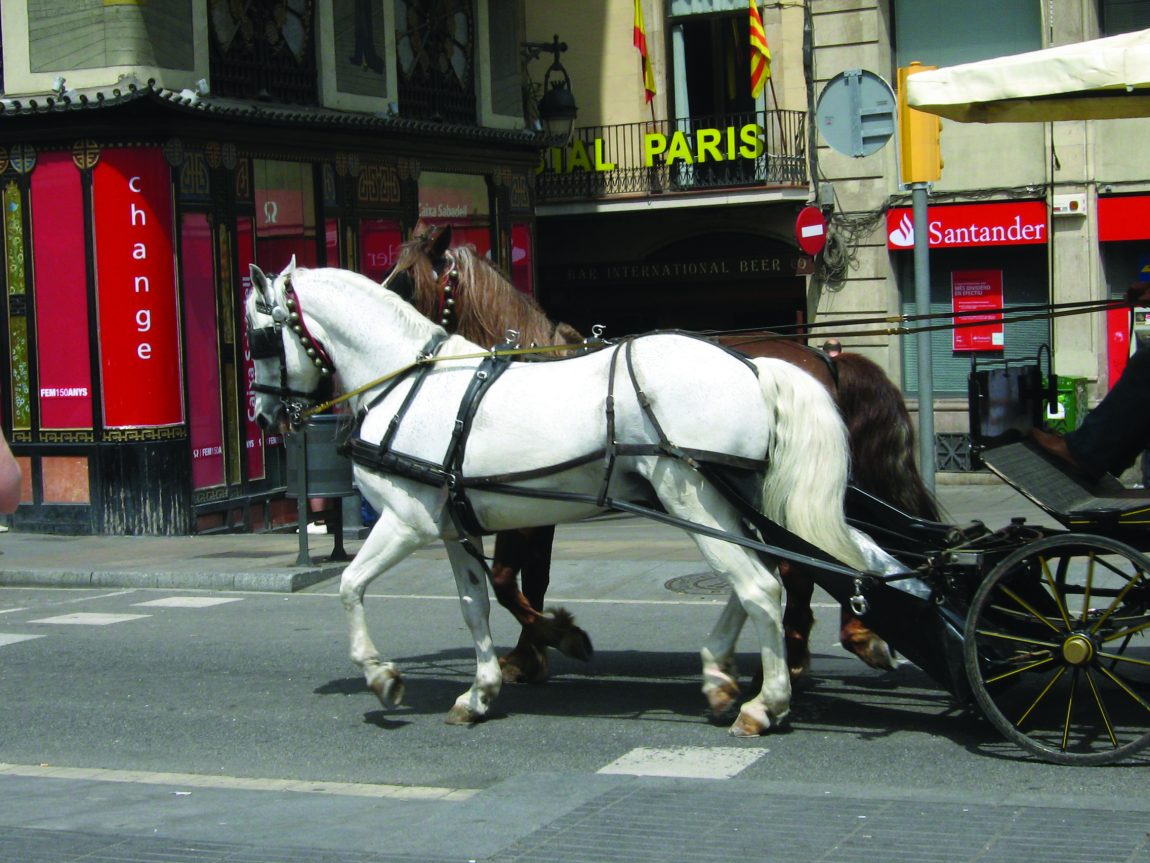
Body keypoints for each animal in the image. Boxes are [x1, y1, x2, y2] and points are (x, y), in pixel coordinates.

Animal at [244, 262, 869, 736]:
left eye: (257, 336)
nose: (265, 414)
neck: (409, 383)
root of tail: (757, 366)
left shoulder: (405, 521)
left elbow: (350, 586)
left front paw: (381, 675)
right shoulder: (455, 528)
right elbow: (474, 605)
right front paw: (481, 691)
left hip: (694, 503)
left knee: (761, 587)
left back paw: (766, 703)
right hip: (727, 505)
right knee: (762, 578)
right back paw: (720, 675)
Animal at [386, 226, 943, 685]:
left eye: (405, 284)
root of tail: (824, 357)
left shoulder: (521, 505)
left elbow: (506, 580)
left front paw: (545, 641)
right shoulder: (537, 505)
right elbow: (534, 580)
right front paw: (531, 652)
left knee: (811, 559)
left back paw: (812, 649)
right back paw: (827, 641)